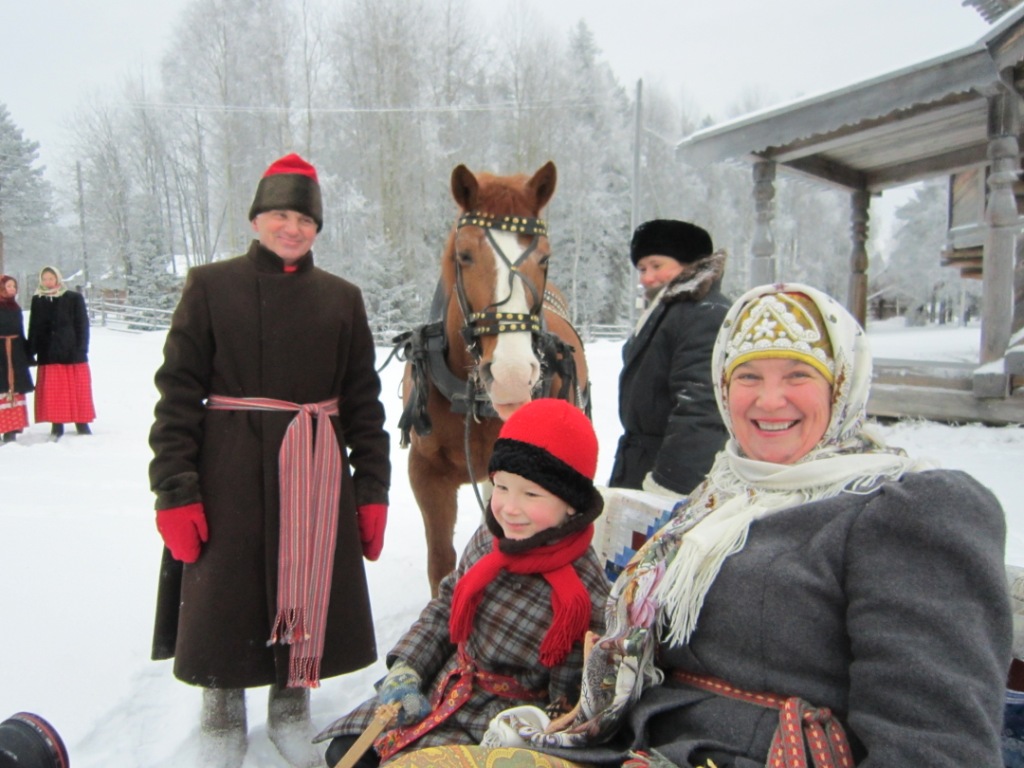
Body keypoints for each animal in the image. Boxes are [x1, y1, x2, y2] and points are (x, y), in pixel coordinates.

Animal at [399, 160, 593, 593]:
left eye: (544, 258)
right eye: (465, 254)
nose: (511, 374)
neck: (472, 399)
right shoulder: (425, 473)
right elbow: (440, 562)